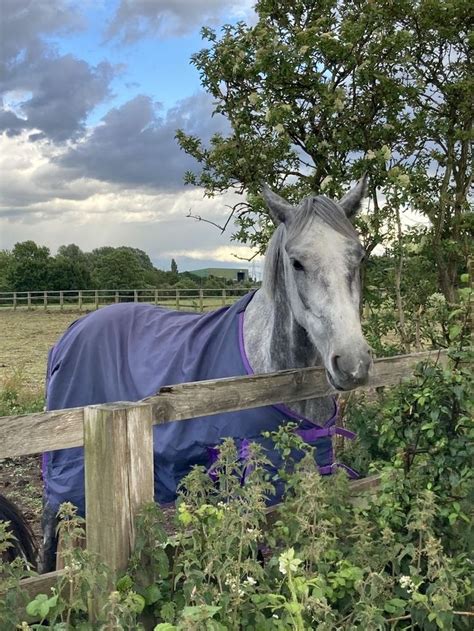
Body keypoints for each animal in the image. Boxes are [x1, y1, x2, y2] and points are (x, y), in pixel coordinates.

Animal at [40, 179, 372, 572]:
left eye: (359, 257)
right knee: (50, 528)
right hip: (66, 469)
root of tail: (73, 329)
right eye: (297, 262)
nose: (353, 364)